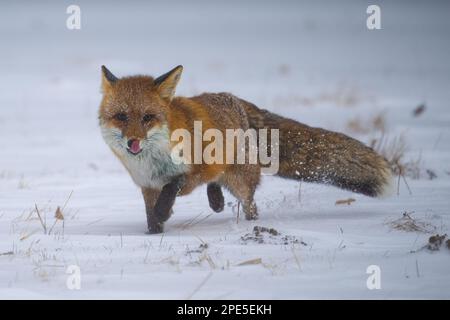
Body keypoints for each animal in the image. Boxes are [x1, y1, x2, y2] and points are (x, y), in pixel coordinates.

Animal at [99, 65, 394, 235]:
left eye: (148, 117)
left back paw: (249, 222)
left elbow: (173, 187)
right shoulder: (147, 184)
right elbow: (151, 214)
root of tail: (235, 99)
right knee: (219, 185)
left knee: (249, 202)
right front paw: (153, 232)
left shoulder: (192, 172)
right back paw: (217, 202)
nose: (132, 141)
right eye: (121, 117)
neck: (152, 161)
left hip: (240, 180)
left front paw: (164, 212)